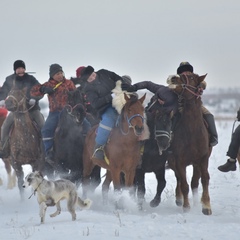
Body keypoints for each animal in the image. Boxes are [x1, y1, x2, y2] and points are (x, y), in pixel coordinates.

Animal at [167, 72, 212, 215]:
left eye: (191, 77)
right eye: (180, 74)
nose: (173, 78)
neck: (192, 131)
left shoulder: (203, 159)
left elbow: (204, 179)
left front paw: (206, 206)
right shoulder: (179, 161)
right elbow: (184, 184)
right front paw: (186, 206)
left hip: (196, 163)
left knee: (195, 182)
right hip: (173, 161)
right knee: (180, 180)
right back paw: (179, 199)